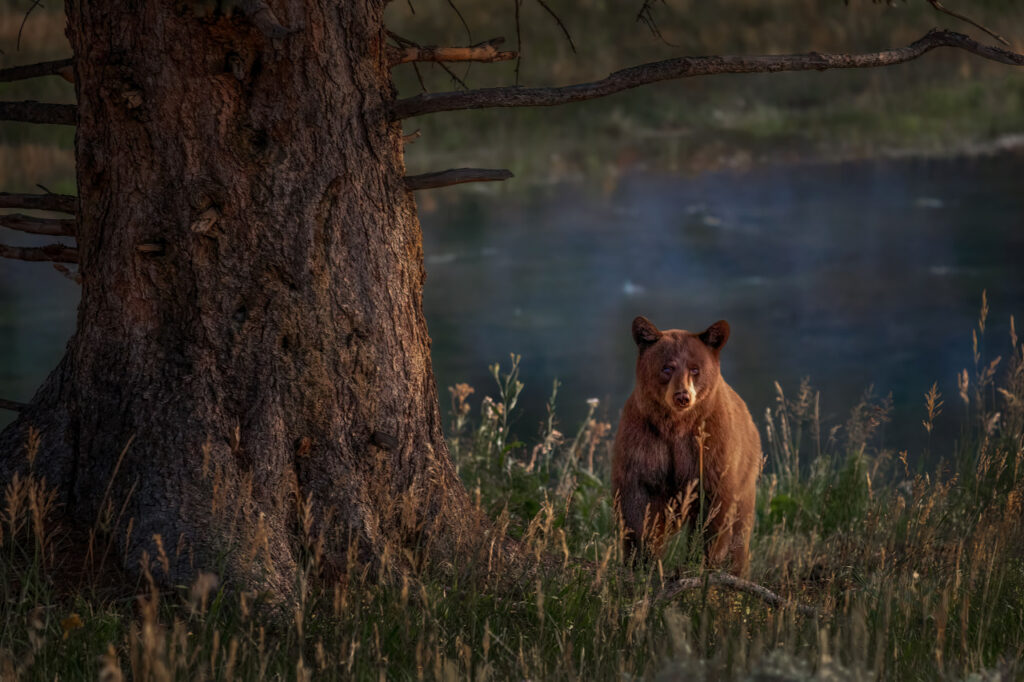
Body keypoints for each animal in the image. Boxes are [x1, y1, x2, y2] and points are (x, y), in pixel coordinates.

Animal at [612, 316, 761, 576]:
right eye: (667, 368)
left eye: (695, 368)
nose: (683, 396)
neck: (676, 426)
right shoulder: (645, 442)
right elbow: (637, 502)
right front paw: (642, 560)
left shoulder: (709, 449)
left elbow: (713, 510)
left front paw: (702, 562)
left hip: (746, 481)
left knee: (740, 532)